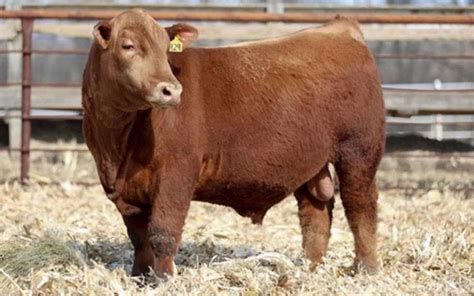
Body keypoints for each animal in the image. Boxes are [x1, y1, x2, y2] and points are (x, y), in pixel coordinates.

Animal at [81, 8, 386, 278]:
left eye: (167, 49)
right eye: (128, 45)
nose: (171, 90)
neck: (116, 144)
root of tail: (340, 28)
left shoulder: (177, 174)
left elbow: (163, 231)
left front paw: (162, 278)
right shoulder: (126, 190)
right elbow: (138, 236)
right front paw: (139, 275)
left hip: (359, 151)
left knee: (360, 206)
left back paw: (366, 269)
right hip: (310, 161)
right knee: (316, 213)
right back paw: (310, 268)